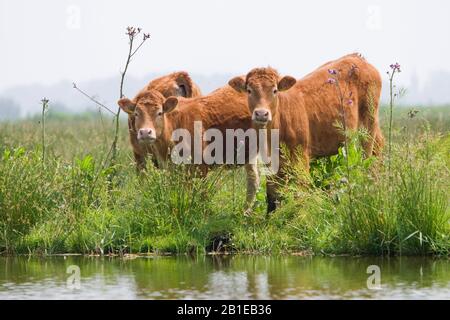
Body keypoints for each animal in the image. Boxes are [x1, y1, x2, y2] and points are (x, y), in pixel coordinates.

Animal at [118, 82, 260, 208]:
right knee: (253, 180)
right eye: (136, 114)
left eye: (159, 113)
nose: (145, 132)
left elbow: (202, 194)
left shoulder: (201, 167)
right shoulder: (172, 169)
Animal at [229, 53, 384, 212]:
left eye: (274, 90)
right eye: (249, 90)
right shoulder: (270, 164)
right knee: (379, 147)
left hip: (368, 121)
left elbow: (300, 190)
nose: (261, 114)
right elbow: (272, 196)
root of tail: (356, 57)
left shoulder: (301, 157)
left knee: (368, 157)